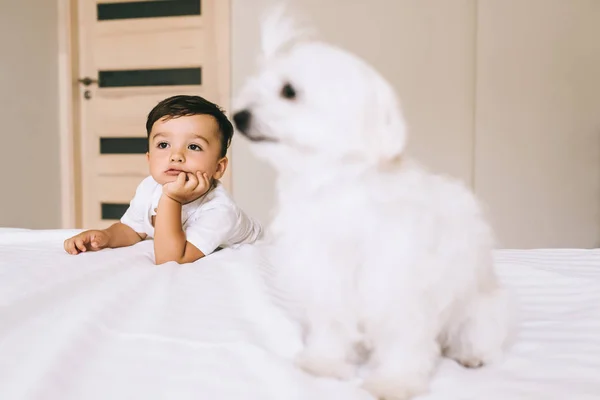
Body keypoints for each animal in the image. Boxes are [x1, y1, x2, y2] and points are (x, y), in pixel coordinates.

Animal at [232, 8, 512, 400]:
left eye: (288, 91)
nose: (238, 116)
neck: (335, 183)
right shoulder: (326, 274)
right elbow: (331, 324)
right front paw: (325, 363)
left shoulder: (398, 281)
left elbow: (404, 339)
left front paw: (396, 382)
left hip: (480, 312)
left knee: (473, 335)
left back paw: (471, 355)